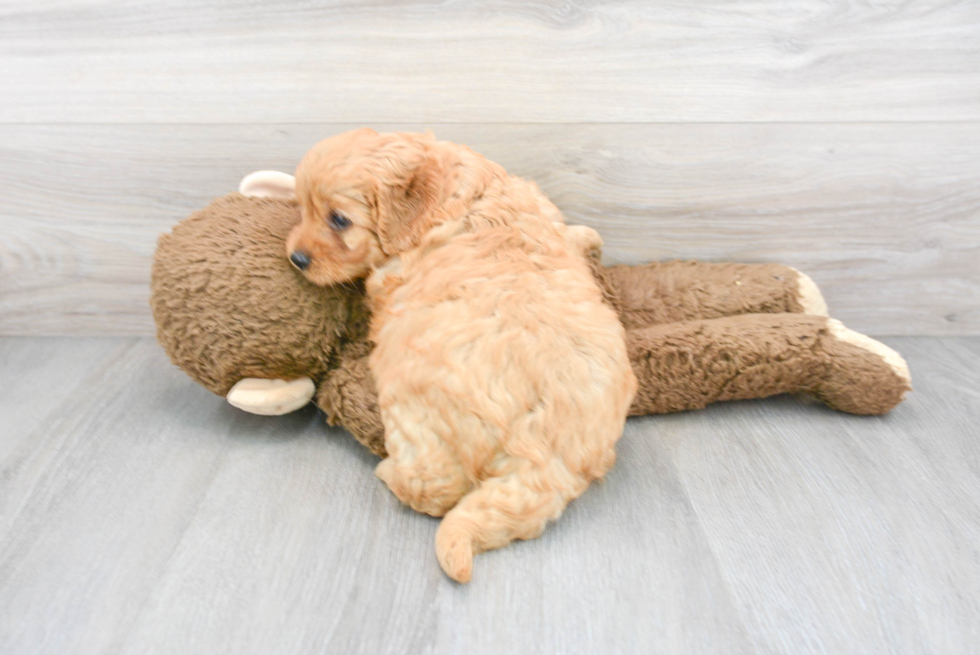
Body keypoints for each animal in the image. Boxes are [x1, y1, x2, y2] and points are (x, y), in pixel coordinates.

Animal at [286, 129, 636, 584]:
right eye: (302, 207)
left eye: (339, 220)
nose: (296, 257)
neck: (454, 194)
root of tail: (544, 448)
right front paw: (586, 237)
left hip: (414, 406)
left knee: (435, 487)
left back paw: (389, 473)